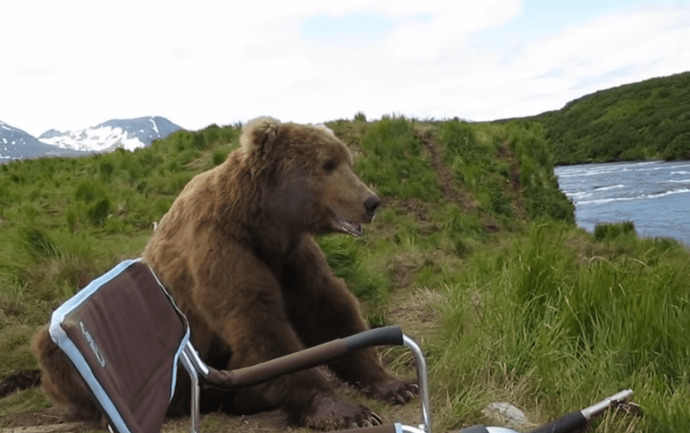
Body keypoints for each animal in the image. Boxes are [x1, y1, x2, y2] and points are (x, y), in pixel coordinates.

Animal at [32, 117, 416, 430]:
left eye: (347, 161)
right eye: (327, 164)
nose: (371, 201)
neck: (261, 222)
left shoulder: (290, 257)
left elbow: (329, 309)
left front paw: (396, 384)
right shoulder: (220, 247)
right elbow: (258, 323)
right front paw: (344, 411)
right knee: (52, 352)